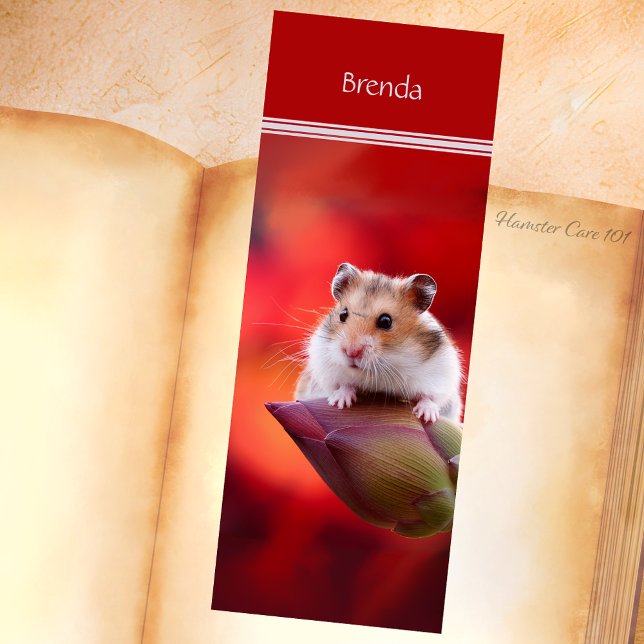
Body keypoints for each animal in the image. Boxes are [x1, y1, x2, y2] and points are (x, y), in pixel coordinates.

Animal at [294, 262, 462, 424]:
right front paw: (340, 403)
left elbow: (431, 397)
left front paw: (426, 416)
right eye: (343, 314)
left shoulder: (441, 374)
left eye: (385, 321)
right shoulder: (324, 365)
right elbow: (342, 385)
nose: (351, 352)